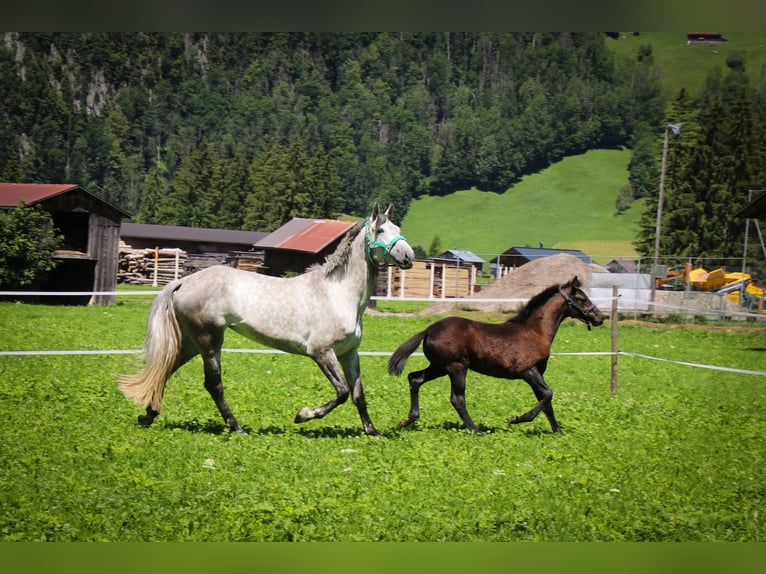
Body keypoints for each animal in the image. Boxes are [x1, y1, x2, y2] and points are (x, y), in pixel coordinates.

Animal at [119, 202, 414, 437]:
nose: (408, 256)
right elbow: (341, 393)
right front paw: (302, 415)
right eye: (380, 231)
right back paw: (237, 428)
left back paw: (148, 415)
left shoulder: (349, 353)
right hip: (210, 340)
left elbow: (358, 394)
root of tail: (183, 282)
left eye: (398, 228)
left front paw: (373, 432)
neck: (337, 294)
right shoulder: (321, 352)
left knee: (166, 369)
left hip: (193, 343)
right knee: (213, 384)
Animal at [387, 276, 604, 433]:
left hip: (439, 367)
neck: (535, 331)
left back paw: (408, 420)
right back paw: (476, 430)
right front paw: (516, 419)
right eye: (582, 298)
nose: (600, 317)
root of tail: (429, 330)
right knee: (457, 398)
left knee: (415, 379)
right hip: (457, 367)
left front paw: (558, 430)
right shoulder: (528, 371)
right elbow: (548, 394)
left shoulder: (538, 372)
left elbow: (546, 400)